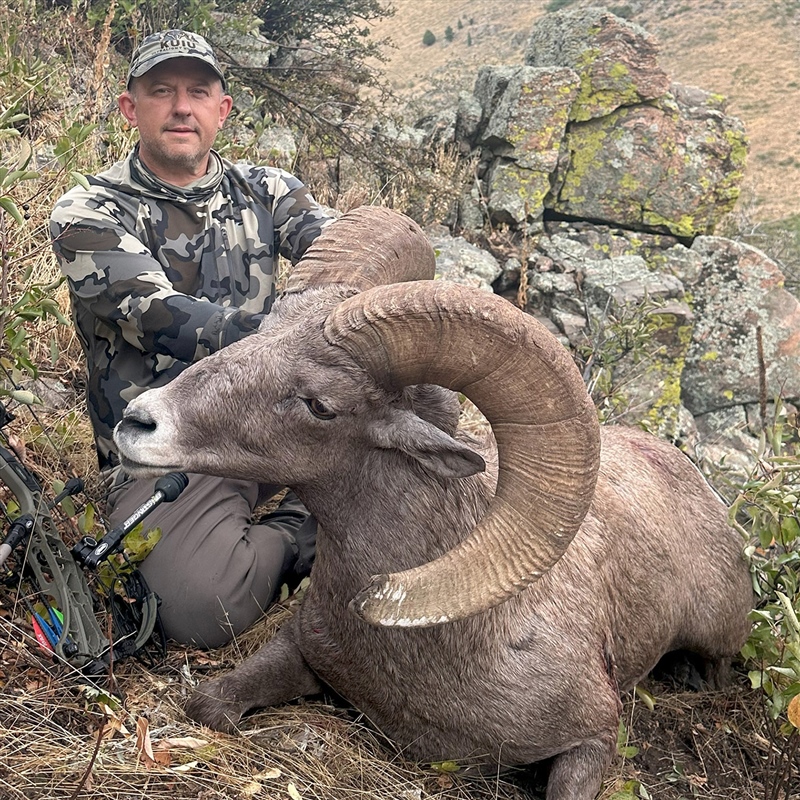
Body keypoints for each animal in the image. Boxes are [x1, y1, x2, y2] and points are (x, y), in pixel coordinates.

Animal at [113, 207, 753, 800]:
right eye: (261, 329)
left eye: (321, 405)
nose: (138, 422)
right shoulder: (300, 650)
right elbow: (209, 706)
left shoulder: (592, 738)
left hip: (718, 635)